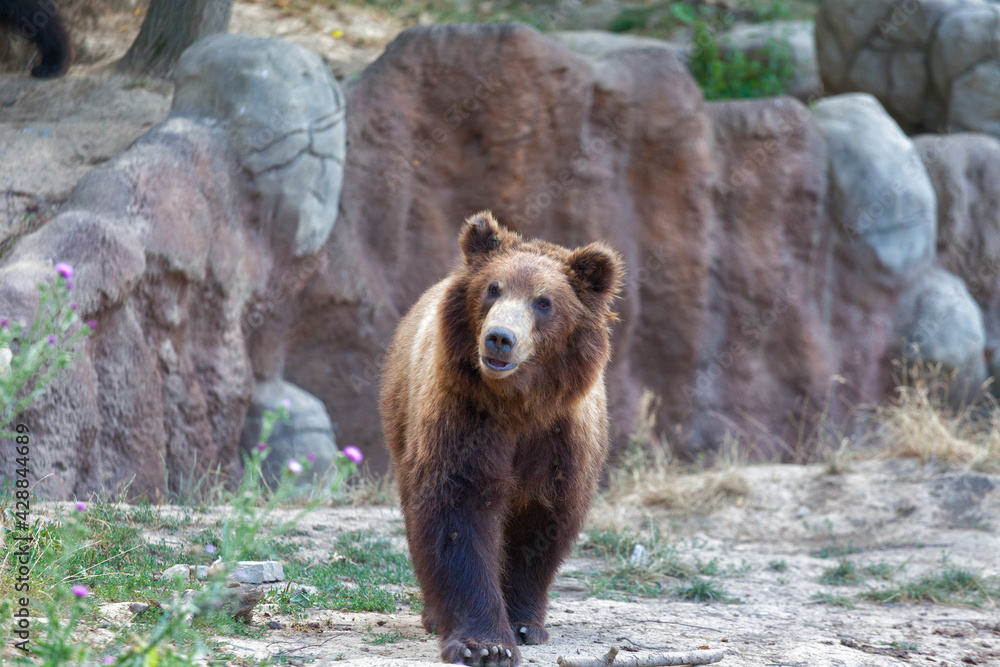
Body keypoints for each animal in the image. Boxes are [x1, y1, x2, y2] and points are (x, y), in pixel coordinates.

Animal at [380, 211, 624, 666]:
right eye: (493, 288)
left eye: (544, 302)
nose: (500, 338)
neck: (518, 405)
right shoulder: (464, 416)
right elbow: (458, 512)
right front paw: (485, 643)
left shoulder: (560, 438)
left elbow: (542, 525)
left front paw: (524, 623)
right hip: (402, 419)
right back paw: (434, 614)